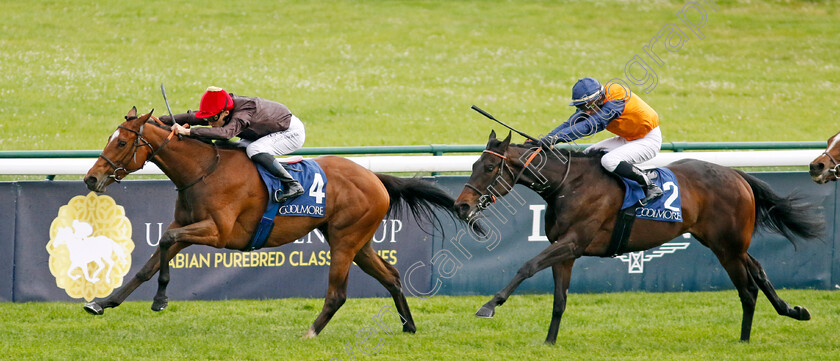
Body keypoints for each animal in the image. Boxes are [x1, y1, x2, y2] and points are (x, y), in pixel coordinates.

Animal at [83, 105, 466, 336]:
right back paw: (408, 326)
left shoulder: (217, 232)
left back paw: (311, 331)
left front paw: (160, 300)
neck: (203, 171)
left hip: (345, 240)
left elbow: (164, 242)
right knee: (391, 276)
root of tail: (375, 178)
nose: (90, 179)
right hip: (356, 240)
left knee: (338, 293)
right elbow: (150, 261)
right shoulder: (188, 227)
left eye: (121, 143)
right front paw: (102, 302)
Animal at [452, 130, 820, 344]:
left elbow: (526, 267)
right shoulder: (565, 249)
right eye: (473, 165)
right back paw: (793, 310)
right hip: (728, 244)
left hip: (726, 246)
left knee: (748, 289)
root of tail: (737, 174)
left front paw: (489, 305)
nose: (461, 205)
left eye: (488, 168)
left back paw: (745, 339)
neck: (569, 184)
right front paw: (549, 343)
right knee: (758, 270)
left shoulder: (573, 242)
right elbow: (559, 299)